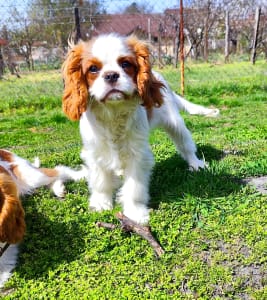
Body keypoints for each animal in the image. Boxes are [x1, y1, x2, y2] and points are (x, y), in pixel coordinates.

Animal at [62, 32, 220, 225]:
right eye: (93, 69)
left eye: (125, 64)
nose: (111, 75)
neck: (113, 111)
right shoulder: (95, 151)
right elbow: (101, 181)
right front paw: (101, 203)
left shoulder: (137, 154)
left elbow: (134, 187)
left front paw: (135, 212)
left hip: (174, 123)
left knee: (185, 145)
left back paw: (195, 163)